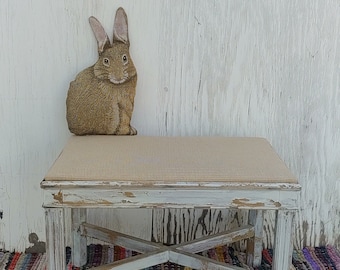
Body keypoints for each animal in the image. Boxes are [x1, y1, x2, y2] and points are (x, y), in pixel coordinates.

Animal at [66, 7, 137, 136]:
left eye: (124, 58)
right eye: (106, 61)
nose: (118, 77)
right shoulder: (125, 104)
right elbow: (125, 120)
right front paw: (130, 131)